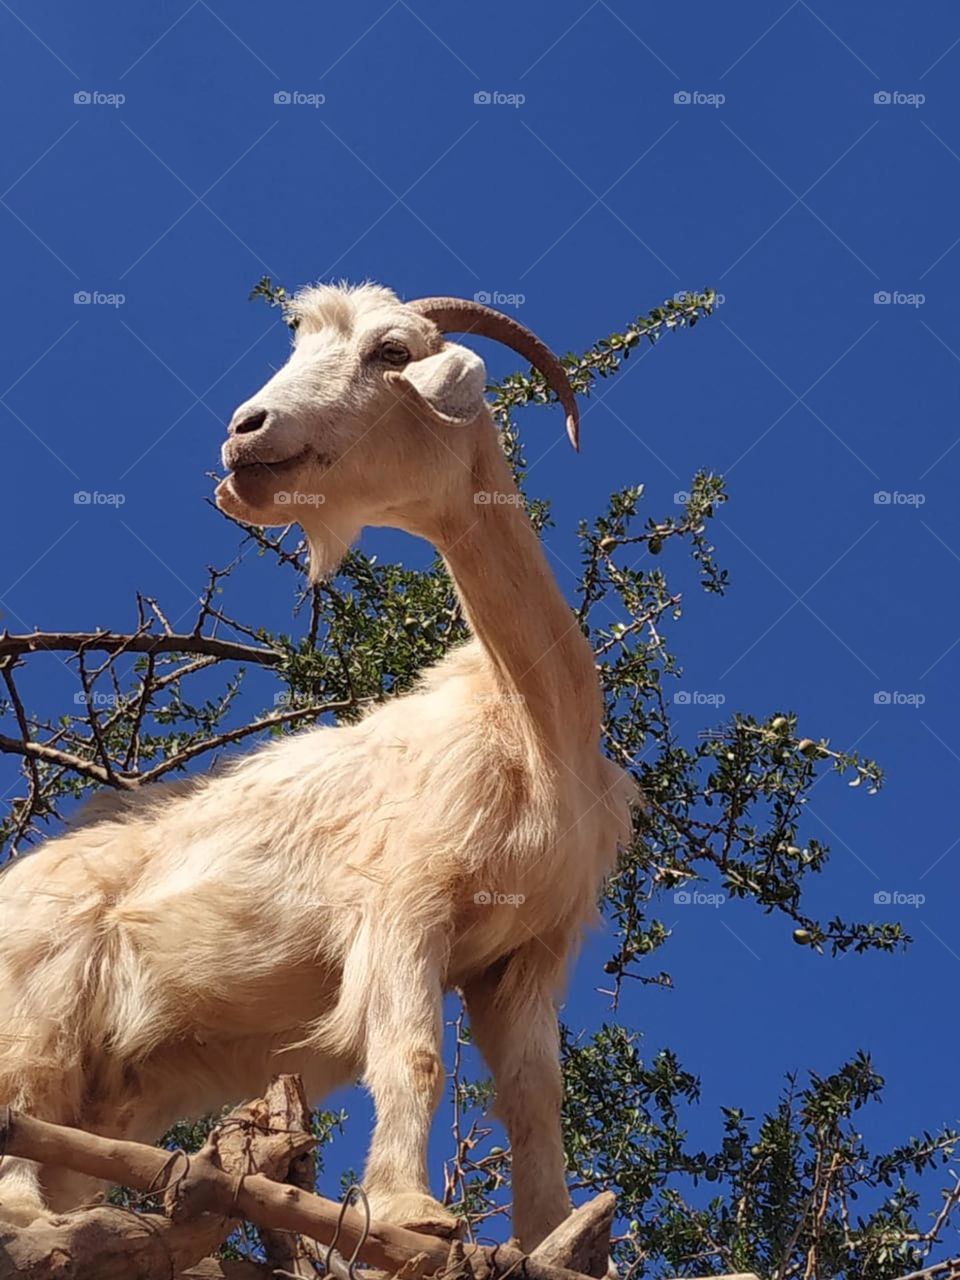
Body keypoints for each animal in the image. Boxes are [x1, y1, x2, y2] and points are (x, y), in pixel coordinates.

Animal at [0, 282, 640, 1249]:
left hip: (106, 1083)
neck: (533, 729)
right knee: (18, 1123)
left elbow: (536, 1101)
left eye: (391, 352)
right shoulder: (404, 904)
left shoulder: (528, 951)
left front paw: (553, 1242)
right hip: (35, 1014)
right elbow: (412, 1056)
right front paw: (413, 1217)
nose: (243, 430)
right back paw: (44, 1226)